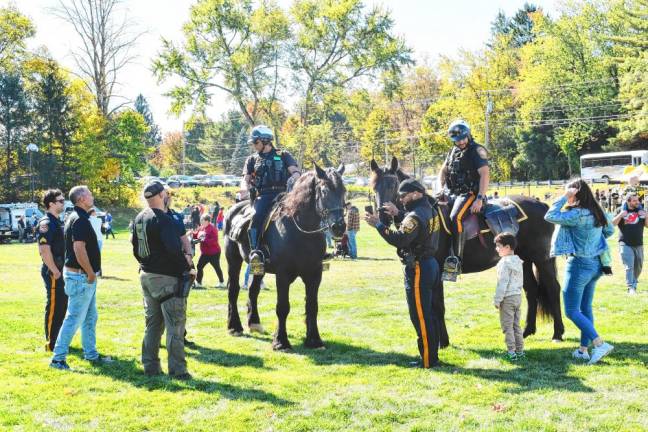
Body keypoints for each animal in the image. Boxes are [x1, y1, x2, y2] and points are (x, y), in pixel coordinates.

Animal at [223, 165, 346, 352]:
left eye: (344, 191)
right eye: (324, 190)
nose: (339, 227)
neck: (301, 230)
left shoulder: (315, 274)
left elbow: (312, 306)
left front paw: (314, 340)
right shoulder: (283, 275)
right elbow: (282, 307)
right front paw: (281, 341)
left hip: (258, 267)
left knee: (253, 290)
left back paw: (254, 323)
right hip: (233, 260)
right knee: (233, 290)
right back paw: (234, 326)